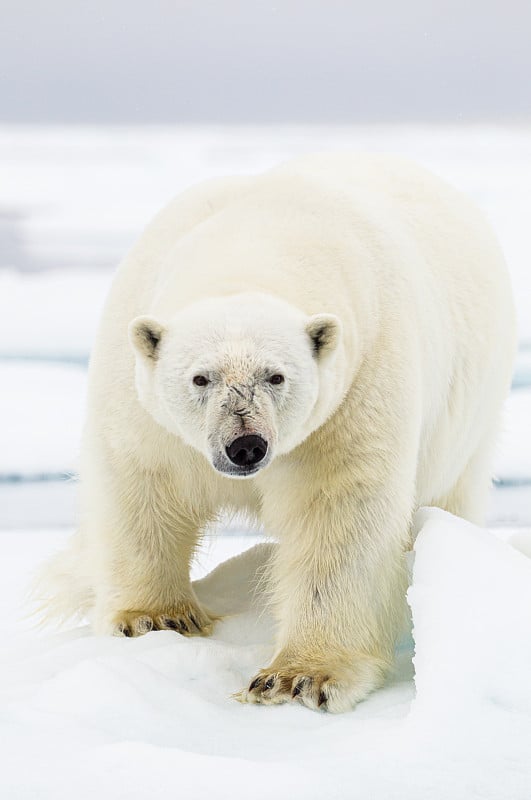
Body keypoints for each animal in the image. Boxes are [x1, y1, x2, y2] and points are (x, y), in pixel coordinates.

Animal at [39, 155, 516, 712]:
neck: (256, 239)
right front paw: (154, 618)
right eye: (200, 378)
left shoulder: (358, 385)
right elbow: (141, 481)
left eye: (276, 376)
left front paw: (298, 677)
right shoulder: (138, 386)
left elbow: (340, 512)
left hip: (471, 414)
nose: (245, 446)